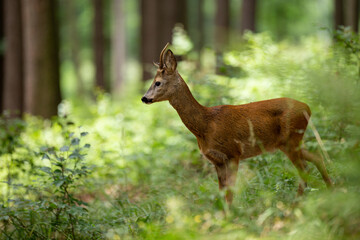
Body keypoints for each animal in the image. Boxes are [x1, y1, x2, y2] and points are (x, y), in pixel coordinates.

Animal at [141, 42, 332, 204]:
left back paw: (296, 205)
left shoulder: (234, 152)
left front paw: (231, 218)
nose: (144, 98)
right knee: (316, 157)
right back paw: (330, 189)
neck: (206, 125)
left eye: (157, 83)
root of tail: (307, 107)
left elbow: (230, 192)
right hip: (289, 142)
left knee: (304, 169)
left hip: (291, 138)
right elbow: (222, 192)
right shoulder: (217, 161)